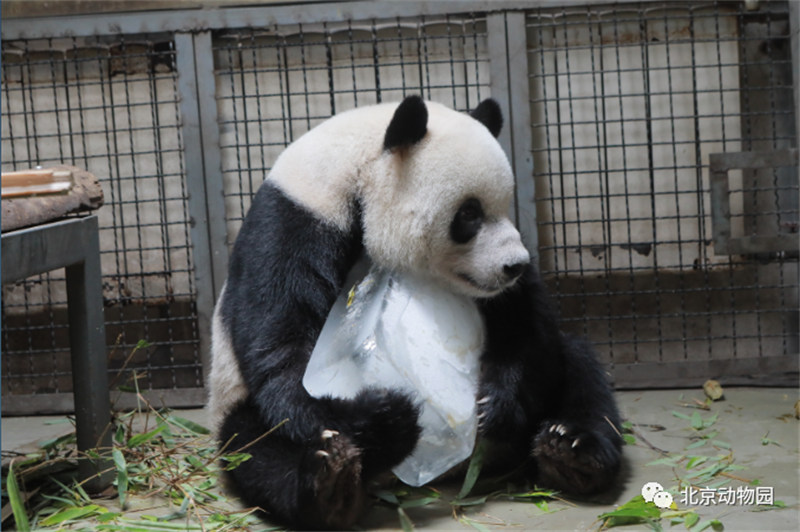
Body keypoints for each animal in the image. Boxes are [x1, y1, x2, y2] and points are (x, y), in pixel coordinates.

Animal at [209, 95, 620, 528]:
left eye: (504, 206)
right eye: (469, 213)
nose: (515, 265)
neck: (354, 174)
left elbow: (524, 324)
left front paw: (492, 405)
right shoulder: (295, 225)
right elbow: (282, 352)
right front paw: (386, 416)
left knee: (579, 372)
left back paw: (572, 452)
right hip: (232, 401)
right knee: (253, 446)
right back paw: (330, 485)